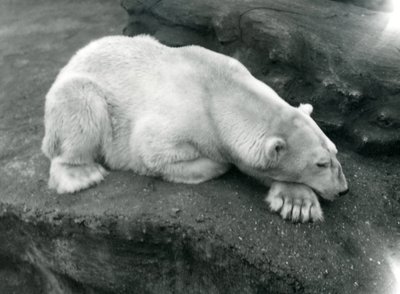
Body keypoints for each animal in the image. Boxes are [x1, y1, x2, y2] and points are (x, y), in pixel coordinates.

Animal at [41, 35, 346, 222]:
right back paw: (81, 174)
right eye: (320, 164)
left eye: (335, 153)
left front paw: (298, 204)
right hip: (79, 94)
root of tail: (74, 57)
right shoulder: (175, 122)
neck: (218, 88)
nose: (343, 190)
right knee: (82, 106)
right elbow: (152, 154)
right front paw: (221, 162)